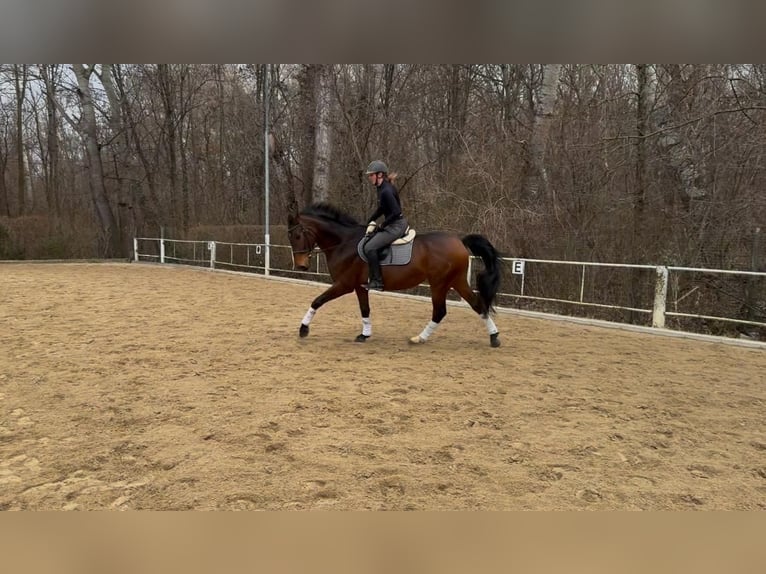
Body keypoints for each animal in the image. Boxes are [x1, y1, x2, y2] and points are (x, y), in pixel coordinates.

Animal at [288, 202, 504, 346]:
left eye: (297, 235)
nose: (301, 266)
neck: (344, 242)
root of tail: (459, 241)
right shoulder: (359, 286)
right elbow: (365, 310)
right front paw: (365, 335)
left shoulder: (344, 284)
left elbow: (317, 301)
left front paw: (303, 329)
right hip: (456, 281)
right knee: (477, 305)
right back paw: (494, 337)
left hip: (439, 283)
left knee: (440, 311)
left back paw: (420, 338)